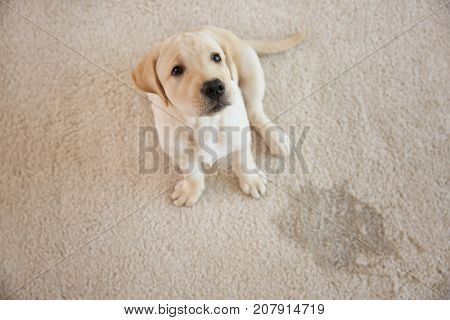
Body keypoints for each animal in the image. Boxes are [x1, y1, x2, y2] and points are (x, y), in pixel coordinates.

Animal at [131, 24, 306, 205]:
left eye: (216, 58)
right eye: (177, 70)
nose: (214, 87)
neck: (204, 122)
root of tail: (239, 39)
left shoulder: (240, 134)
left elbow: (243, 158)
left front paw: (250, 179)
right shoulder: (177, 149)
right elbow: (192, 171)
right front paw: (191, 189)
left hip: (252, 74)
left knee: (255, 112)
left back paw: (277, 138)